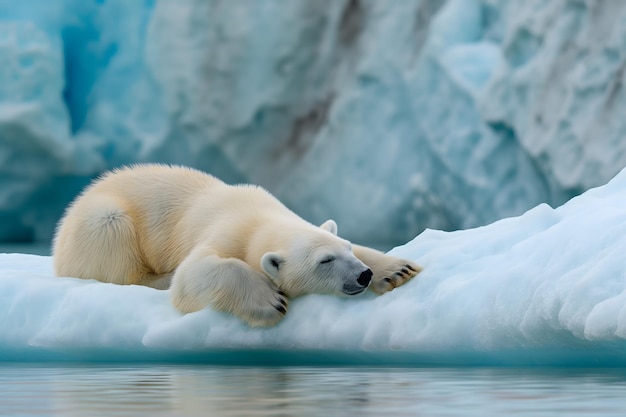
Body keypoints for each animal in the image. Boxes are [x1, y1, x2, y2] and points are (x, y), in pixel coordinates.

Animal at [53, 164, 422, 326]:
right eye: (324, 261)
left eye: (345, 249)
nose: (363, 275)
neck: (258, 217)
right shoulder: (224, 232)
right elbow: (191, 276)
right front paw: (268, 300)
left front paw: (397, 269)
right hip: (102, 220)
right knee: (114, 243)